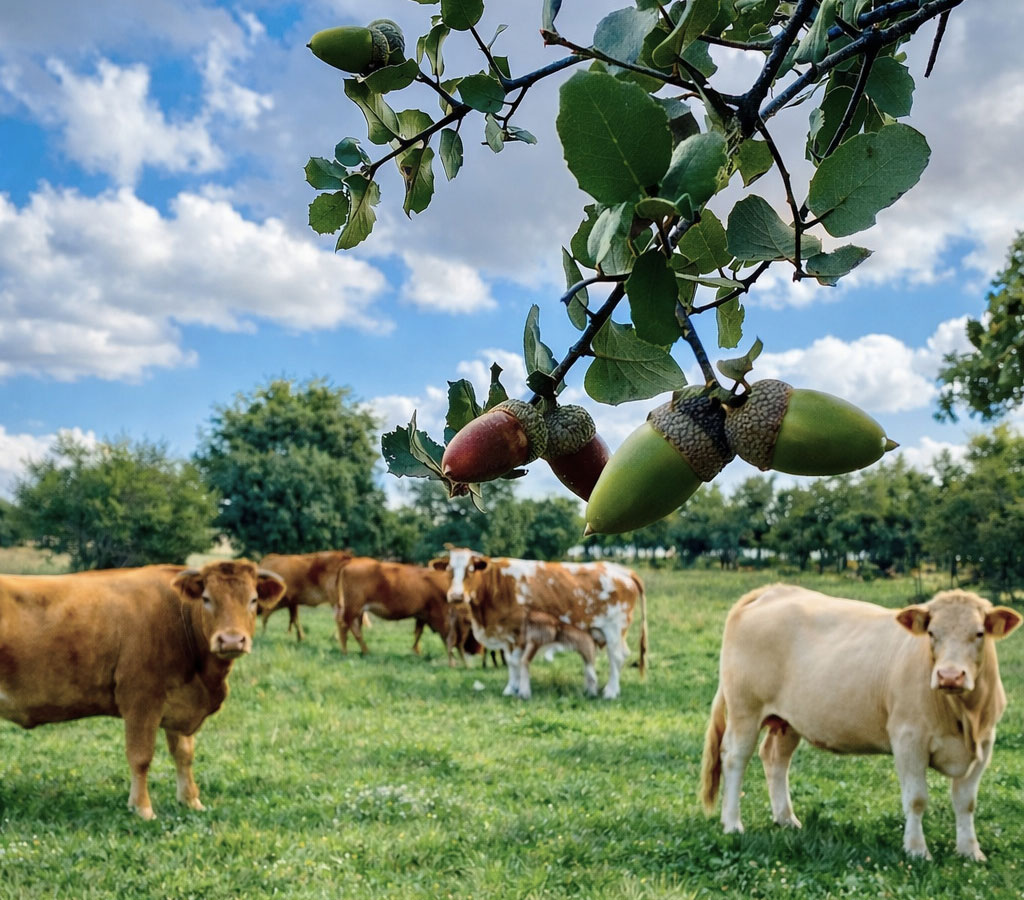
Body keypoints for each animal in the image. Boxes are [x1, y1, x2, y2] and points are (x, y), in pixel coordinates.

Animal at [0, 559, 286, 820]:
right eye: (206, 598)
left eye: (253, 599)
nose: (231, 640)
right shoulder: (141, 700)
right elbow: (141, 757)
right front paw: (142, 808)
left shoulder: (179, 702)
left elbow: (184, 754)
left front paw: (191, 801)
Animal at [431, 549, 647, 700]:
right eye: (449, 570)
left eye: (470, 570)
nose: (456, 596)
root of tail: (622, 570)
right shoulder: (507, 634)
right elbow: (511, 662)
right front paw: (511, 688)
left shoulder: (517, 632)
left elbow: (516, 661)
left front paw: (517, 688)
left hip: (614, 630)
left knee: (616, 657)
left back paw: (611, 691)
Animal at [699, 584, 1021, 861]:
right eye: (932, 633)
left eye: (979, 633)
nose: (950, 676)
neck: (964, 717)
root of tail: (771, 591)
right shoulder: (908, 739)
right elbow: (917, 799)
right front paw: (917, 850)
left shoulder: (985, 743)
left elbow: (966, 802)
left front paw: (970, 851)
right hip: (745, 709)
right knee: (735, 758)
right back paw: (732, 823)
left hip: (788, 720)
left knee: (775, 758)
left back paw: (786, 818)